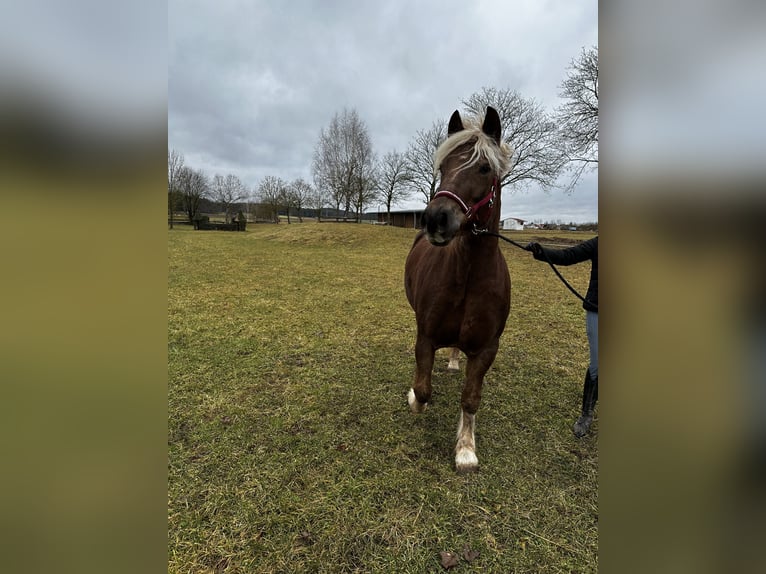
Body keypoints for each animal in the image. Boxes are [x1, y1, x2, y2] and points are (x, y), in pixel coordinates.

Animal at [404, 106, 512, 474]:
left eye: (484, 168)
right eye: (443, 167)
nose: (436, 219)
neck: (468, 275)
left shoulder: (486, 349)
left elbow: (471, 397)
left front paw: (466, 448)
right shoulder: (425, 337)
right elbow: (423, 388)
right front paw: (414, 399)